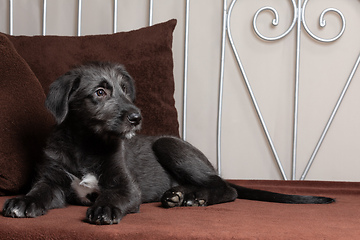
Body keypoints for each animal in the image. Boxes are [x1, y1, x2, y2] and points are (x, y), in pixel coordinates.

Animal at [2, 62, 334, 225]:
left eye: (125, 90)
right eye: (99, 92)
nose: (137, 117)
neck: (86, 145)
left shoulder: (127, 187)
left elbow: (114, 195)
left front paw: (105, 208)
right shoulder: (52, 180)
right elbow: (40, 192)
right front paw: (23, 202)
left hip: (168, 146)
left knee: (226, 187)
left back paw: (193, 197)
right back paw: (180, 195)